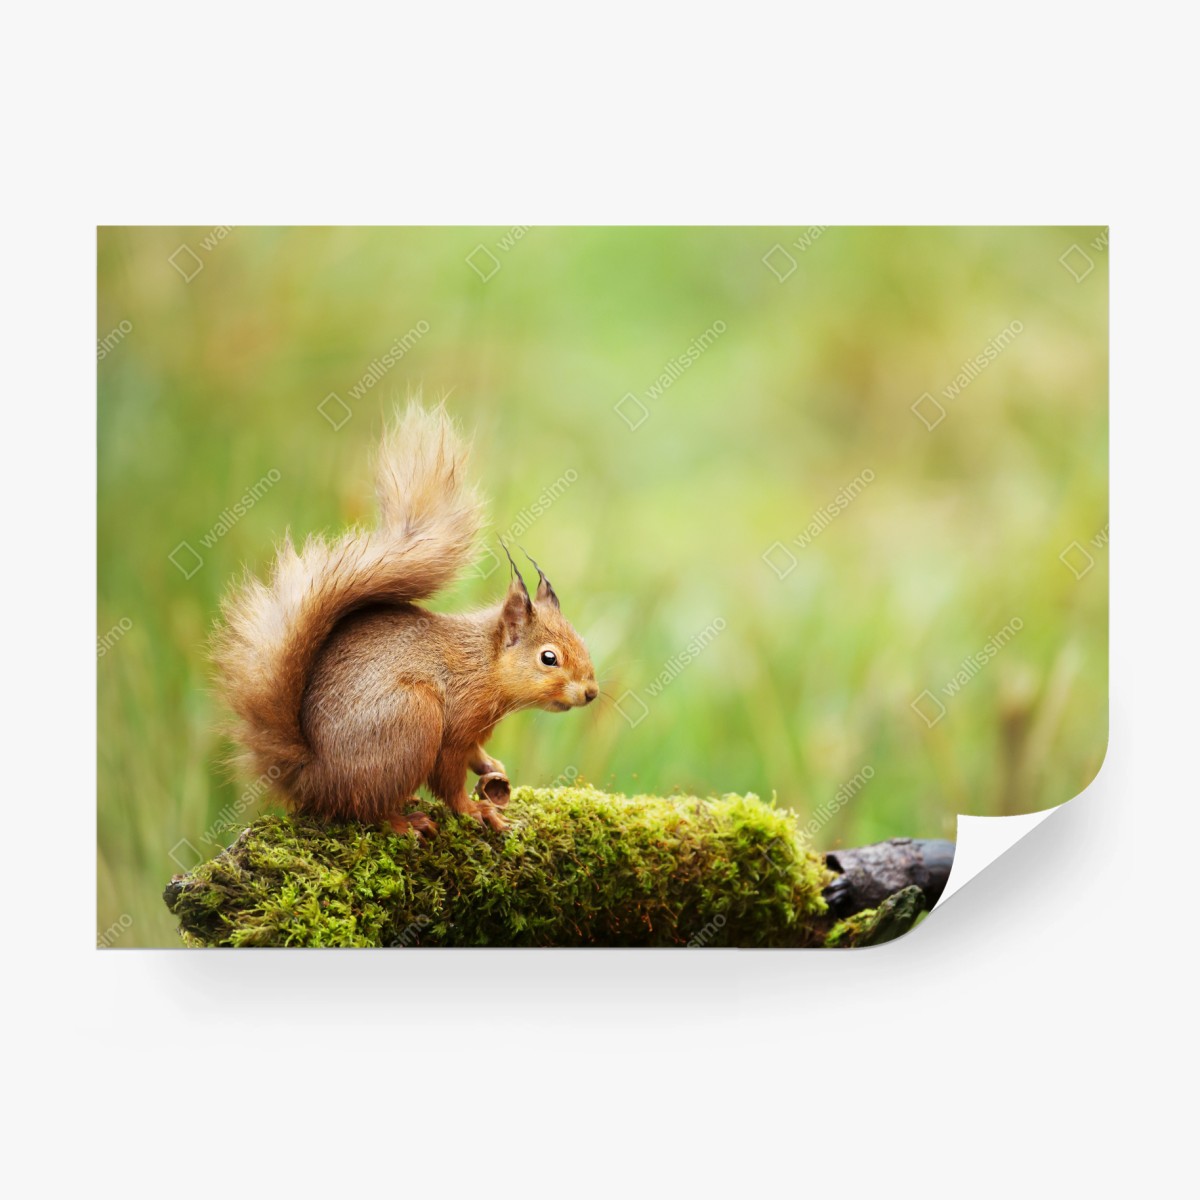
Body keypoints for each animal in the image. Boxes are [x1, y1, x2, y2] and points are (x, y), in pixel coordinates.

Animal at [212, 402, 598, 837]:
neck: (484, 665)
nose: (591, 692)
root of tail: (310, 778)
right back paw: (405, 821)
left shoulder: (473, 732)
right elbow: (449, 778)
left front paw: (491, 767)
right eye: (549, 658)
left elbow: (474, 755)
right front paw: (475, 810)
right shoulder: (455, 726)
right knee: (365, 808)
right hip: (413, 720)